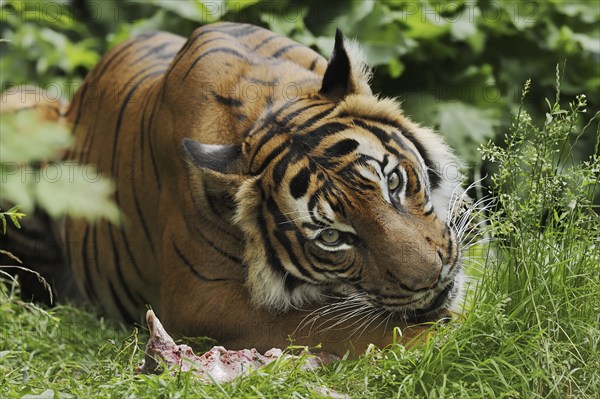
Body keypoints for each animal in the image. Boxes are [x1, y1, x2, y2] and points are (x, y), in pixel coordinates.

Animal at [3, 22, 468, 356]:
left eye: (393, 182)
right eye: (332, 237)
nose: (431, 279)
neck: (265, 101)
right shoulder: (202, 301)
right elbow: (352, 326)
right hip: (21, 104)